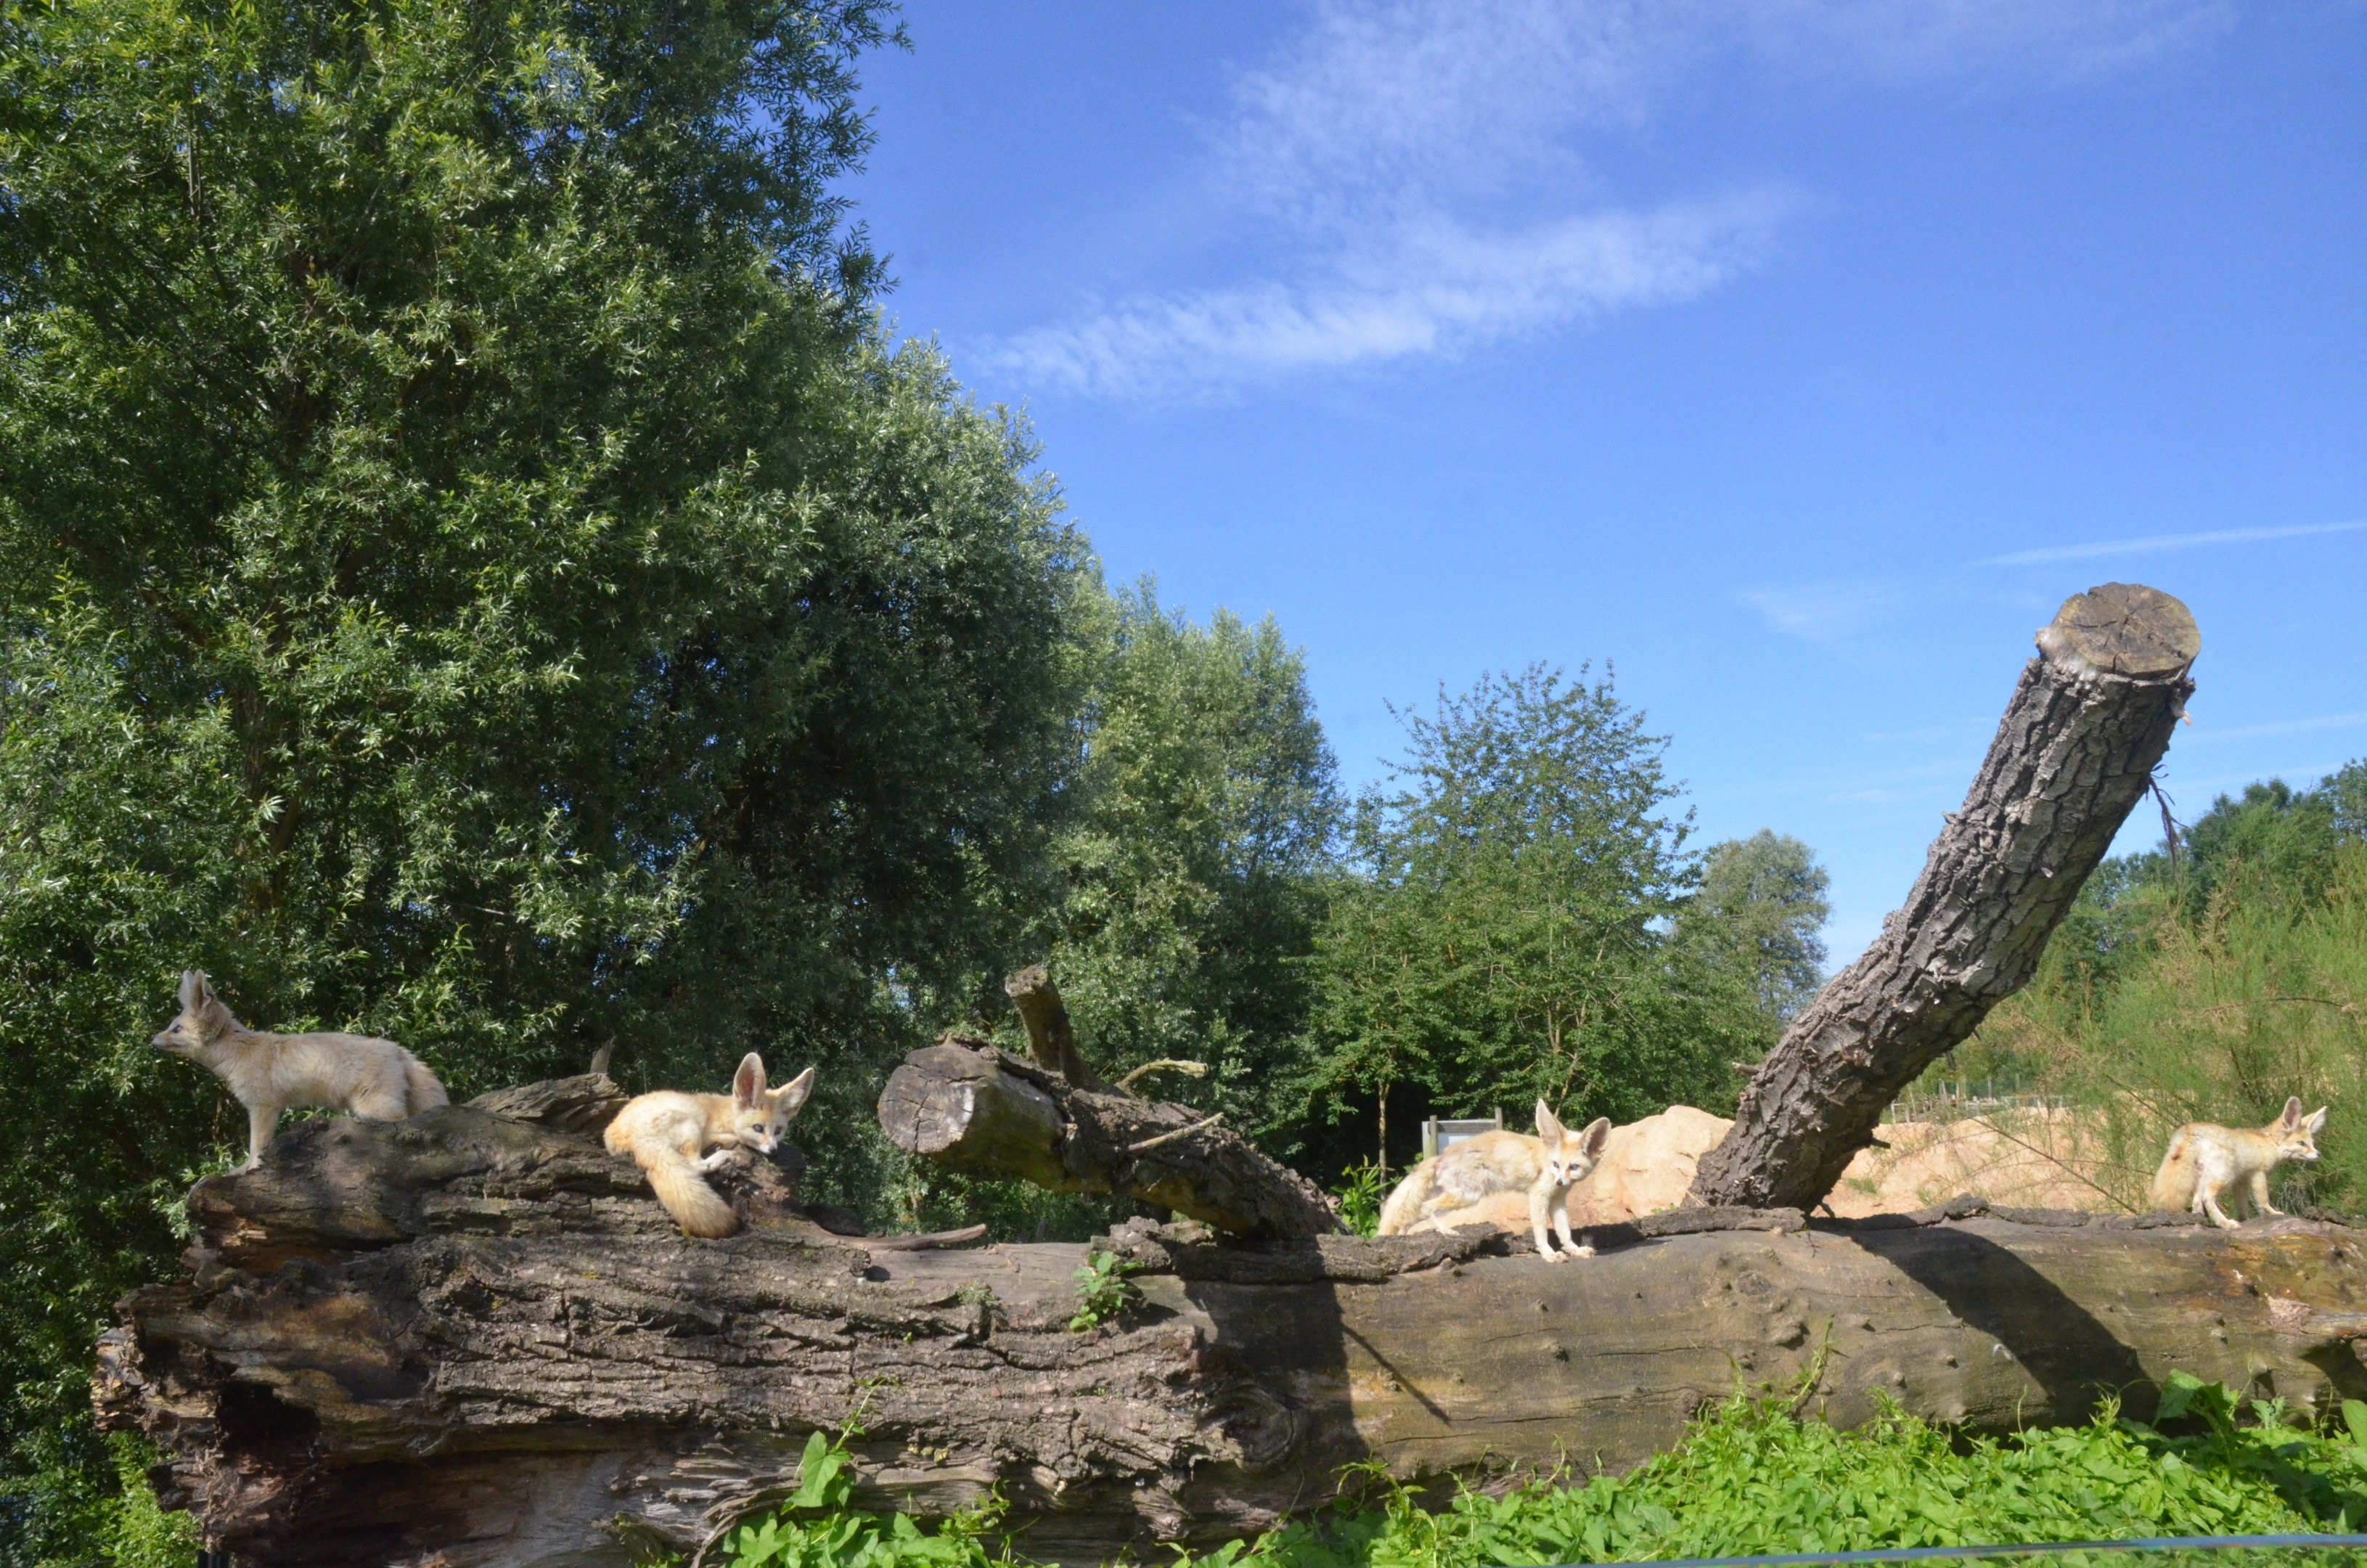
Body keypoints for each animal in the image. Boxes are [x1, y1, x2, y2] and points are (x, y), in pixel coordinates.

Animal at [151, 969, 449, 1171]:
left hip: (376, 1109)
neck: (241, 1052)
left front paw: (249, 1170)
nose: (152, 1041)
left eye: (176, 1029)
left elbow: (255, 1147)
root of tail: (399, 1049)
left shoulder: (263, 1108)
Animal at [604, 1053, 816, 1238]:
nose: (773, 1151)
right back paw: (725, 1156)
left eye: (778, 1131)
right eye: (758, 1128)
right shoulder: (711, 1133)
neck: (726, 1116)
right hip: (690, 1126)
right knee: (694, 1166)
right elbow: (732, 1138)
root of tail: (635, 1138)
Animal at [1374, 1099, 1613, 1261]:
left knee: (1410, 1217)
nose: (1560, 1182)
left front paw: (1575, 1250)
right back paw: (1446, 1232)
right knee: (1425, 1207)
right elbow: (1541, 1231)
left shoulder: (1557, 1201)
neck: (1546, 1162)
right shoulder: (1538, 1197)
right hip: (1467, 1197)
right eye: (1556, 1165)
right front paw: (1548, 1253)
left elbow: (1565, 1232)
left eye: (1574, 1167)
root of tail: (1441, 1156)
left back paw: (1404, 1239)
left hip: (1454, 1199)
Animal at [2147, 1095, 2327, 1229]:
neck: (2268, 1142)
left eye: (2312, 1143)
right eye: (2302, 1144)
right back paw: (2225, 1223)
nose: (2319, 1154)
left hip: (2204, 1178)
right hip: (2223, 1178)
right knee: (2207, 1198)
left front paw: (2245, 1219)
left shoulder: (2241, 1181)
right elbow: (2263, 1201)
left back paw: (2201, 1222)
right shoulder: (2258, 1174)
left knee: (2197, 1202)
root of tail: (2190, 1130)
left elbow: (2242, 1205)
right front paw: (2273, 1213)